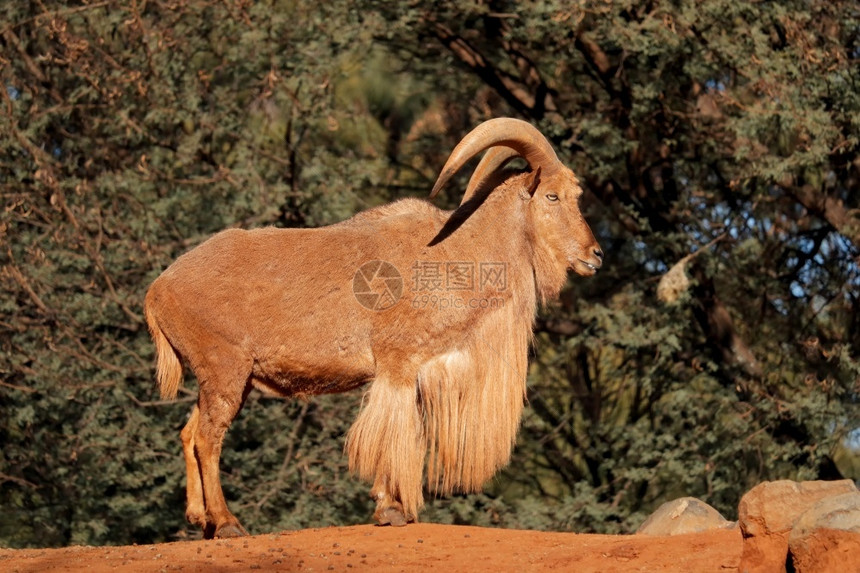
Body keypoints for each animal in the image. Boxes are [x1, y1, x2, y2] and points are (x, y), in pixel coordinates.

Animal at [146, 116, 604, 536]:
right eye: (552, 195)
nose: (595, 255)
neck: (457, 253)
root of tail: (158, 289)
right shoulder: (398, 364)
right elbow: (392, 435)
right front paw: (391, 509)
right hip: (224, 370)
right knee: (207, 438)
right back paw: (226, 522)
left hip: (228, 381)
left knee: (189, 431)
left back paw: (199, 518)